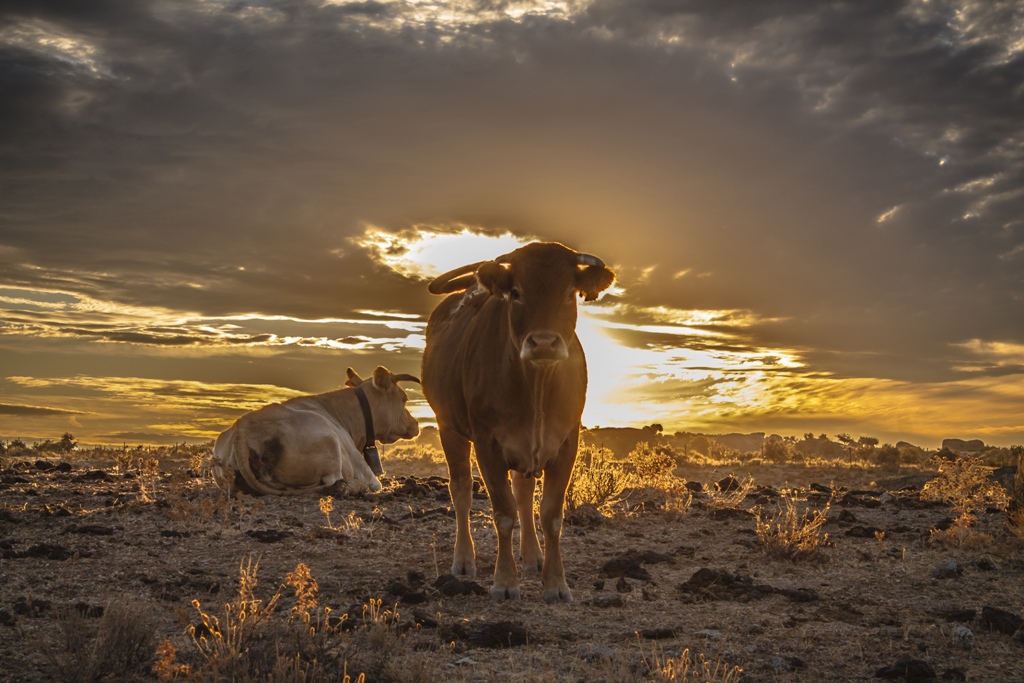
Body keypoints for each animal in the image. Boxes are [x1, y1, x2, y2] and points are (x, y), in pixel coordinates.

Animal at [211, 368, 419, 497]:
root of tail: (243, 428)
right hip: (331, 446)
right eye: (404, 399)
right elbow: (376, 483)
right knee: (335, 484)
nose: (416, 423)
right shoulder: (364, 470)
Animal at [423, 241, 614, 602]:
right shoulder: (487, 444)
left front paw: (556, 583)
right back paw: (464, 560)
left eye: (569, 292)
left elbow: (550, 514)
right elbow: (503, 513)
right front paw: (505, 582)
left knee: (523, 493)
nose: (544, 343)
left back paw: (532, 557)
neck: (536, 386)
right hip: (448, 427)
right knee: (462, 490)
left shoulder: (566, 442)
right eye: (516, 292)